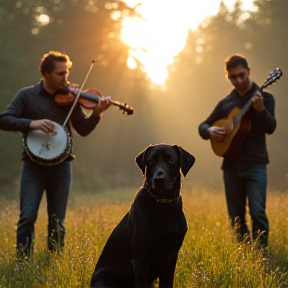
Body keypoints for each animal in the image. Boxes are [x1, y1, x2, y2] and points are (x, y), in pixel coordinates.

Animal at [90, 144, 195, 288]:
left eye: (171, 160)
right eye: (150, 161)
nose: (158, 179)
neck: (163, 205)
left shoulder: (171, 257)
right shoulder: (141, 260)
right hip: (104, 281)